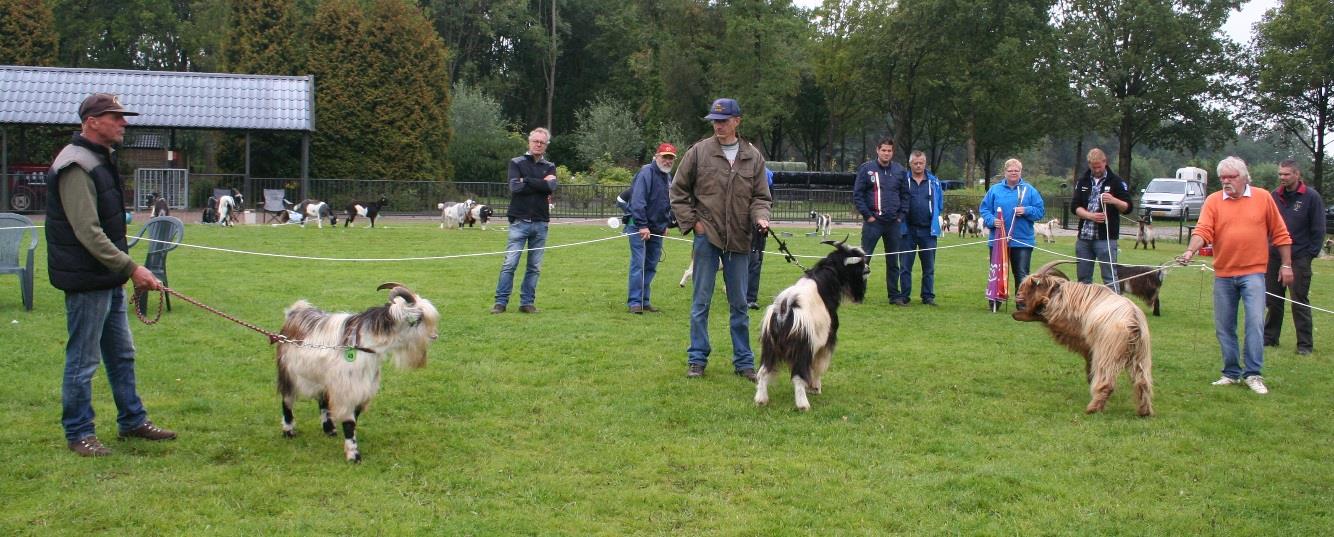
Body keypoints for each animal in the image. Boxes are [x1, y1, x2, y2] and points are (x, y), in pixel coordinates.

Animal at [276, 281, 442, 463]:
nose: (434, 336)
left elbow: (354, 418)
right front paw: (353, 455)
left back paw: (329, 429)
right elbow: (349, 422)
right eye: (418, 319)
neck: (366, 345)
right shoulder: (348, 389)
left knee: (322, 401)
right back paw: (289, 431)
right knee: (287, 400)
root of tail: (294, 312)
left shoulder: (361, 388)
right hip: (289, 372)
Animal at [757, 239, 869, 413]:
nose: (868, 269)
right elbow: (817, 366)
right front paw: (815, 387)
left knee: (763, 372)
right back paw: (803, 404)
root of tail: (784, 310)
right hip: (802, 348)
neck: (824, 284)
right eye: (860, 264)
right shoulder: (824, 342)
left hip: (769, 347)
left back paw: (761, 400)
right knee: (797, 376)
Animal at [1008, 262, 1147, 418]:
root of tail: (1133, 323)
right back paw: (1144, 411)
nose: (1017, 297)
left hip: (1108, 354)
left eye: (1031, 286)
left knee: (1107, 382)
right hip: (1141, 356)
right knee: (1143, 382)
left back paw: (1092, 408)